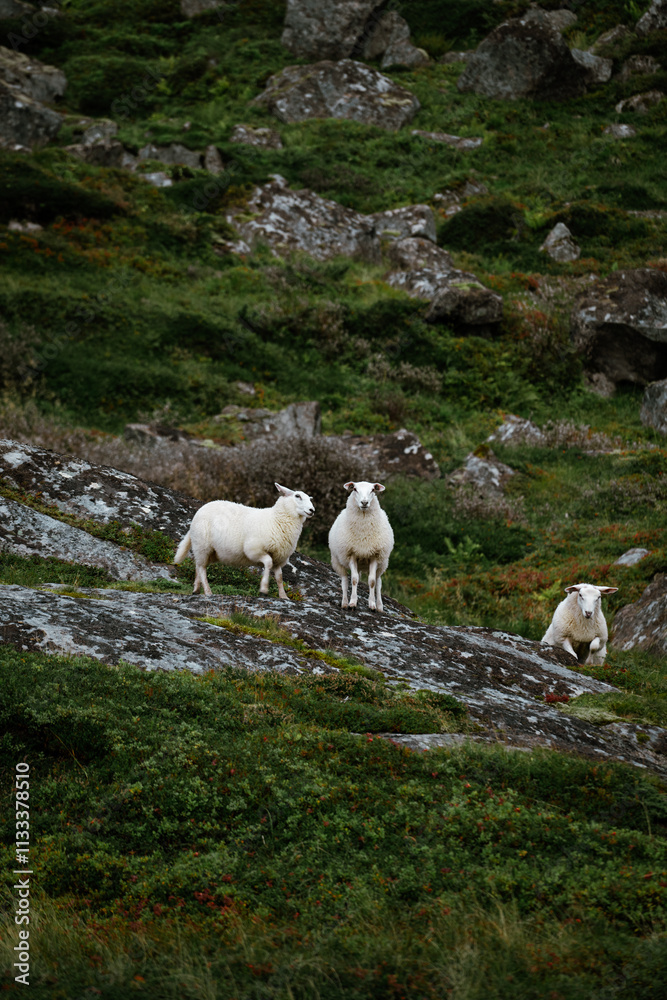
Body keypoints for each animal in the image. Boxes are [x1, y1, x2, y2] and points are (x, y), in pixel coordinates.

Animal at [174, 483, 315, 598]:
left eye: (309, 498)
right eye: (297, 496)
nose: (312, 510)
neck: (276, 519)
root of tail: (197, 513)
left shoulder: (279, 559)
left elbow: (279, 577)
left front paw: (283, 596)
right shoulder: (253, 550)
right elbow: (268, 563)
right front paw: (264, 589)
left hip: (208, 551)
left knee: (198, 566)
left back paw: (196, 589)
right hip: (202, 545)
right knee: (202, 569)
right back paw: (208, 592)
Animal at [328, 480, 394, 612]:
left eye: (373, 490)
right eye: (355, 489)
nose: (364, 503)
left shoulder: (375, 555)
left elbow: (372, 581)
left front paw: (372, 605)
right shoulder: (351, 554)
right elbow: (354, 580)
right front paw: (352, 603)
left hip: (382, 563)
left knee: (379, 582)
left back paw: (380, 606)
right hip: (338, 561)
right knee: (344, 580)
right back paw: (344, 602)